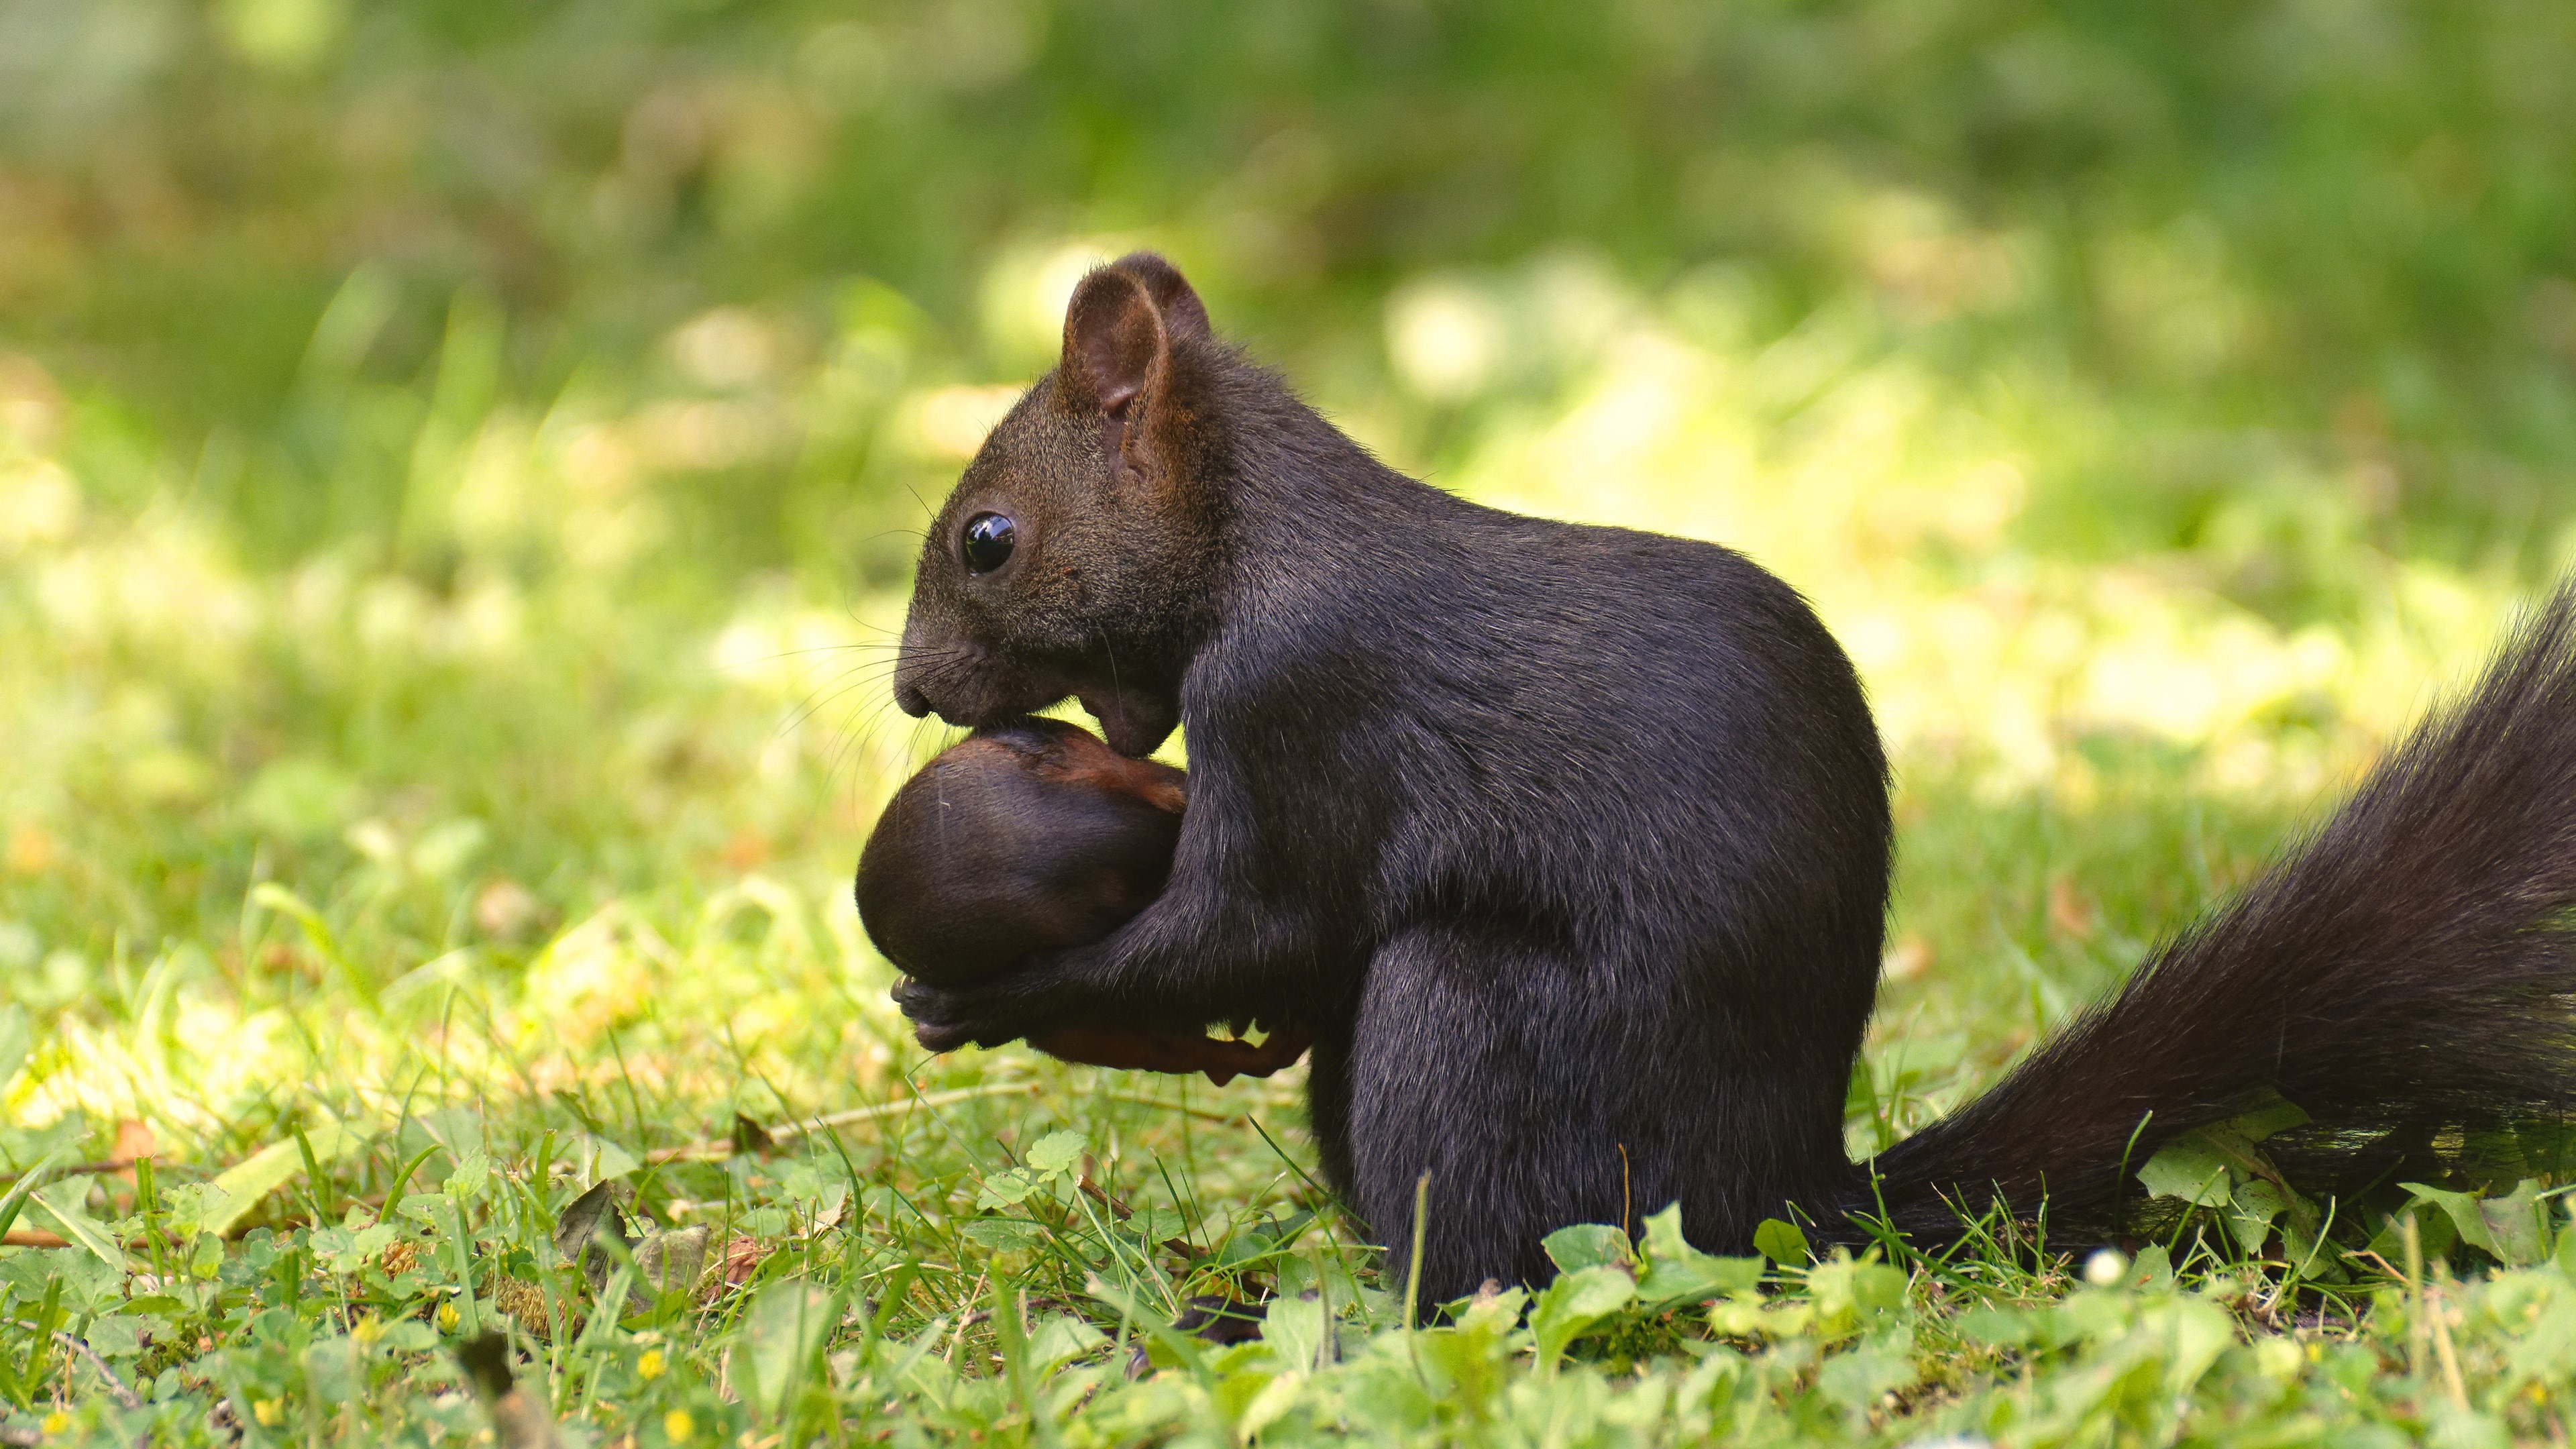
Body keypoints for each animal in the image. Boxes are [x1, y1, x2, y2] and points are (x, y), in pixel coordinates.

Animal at [883, 251, 2576, 1305]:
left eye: (988, 536)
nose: (910, 688)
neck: (1257, 540)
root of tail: (1788, 1196)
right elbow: (1272, 961)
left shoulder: (1301, 704)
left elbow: (1253, 924)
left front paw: (988, 995)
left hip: (1476, 1034)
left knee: (1489, 1270)